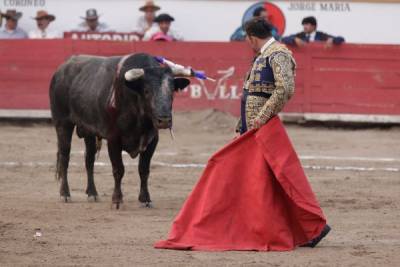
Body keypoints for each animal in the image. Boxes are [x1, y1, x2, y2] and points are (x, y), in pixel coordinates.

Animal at [49, 53, 191, 208]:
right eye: (146, 91)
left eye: (172, 91)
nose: (164, 120)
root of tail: (61, 69)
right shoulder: (113, 139)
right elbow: (118, 169)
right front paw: (117, 200)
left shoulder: (152, 140)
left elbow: (144, 170)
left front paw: (145, 199)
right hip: (63, 124)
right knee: (64, 157)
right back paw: (65, 194)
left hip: (89, 130)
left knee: (89, 160)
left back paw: (92, 193)